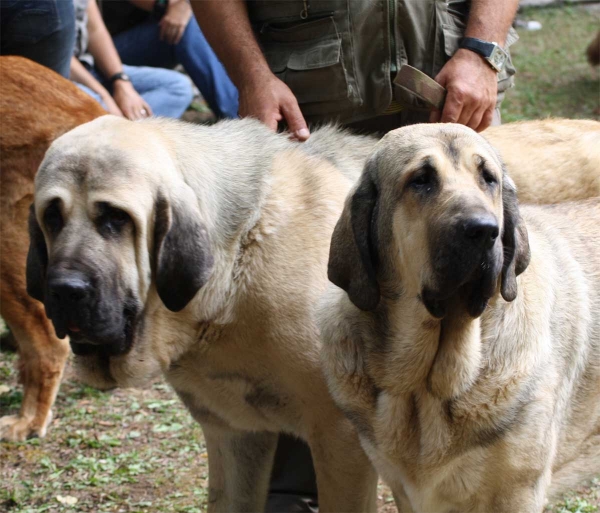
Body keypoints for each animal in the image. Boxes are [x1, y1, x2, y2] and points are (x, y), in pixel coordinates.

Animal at [322, 124, 596, 512]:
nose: (483, 230)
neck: (426, 389)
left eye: (488, 179)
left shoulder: (517, 491)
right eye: (421, 180)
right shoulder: (405, 491)